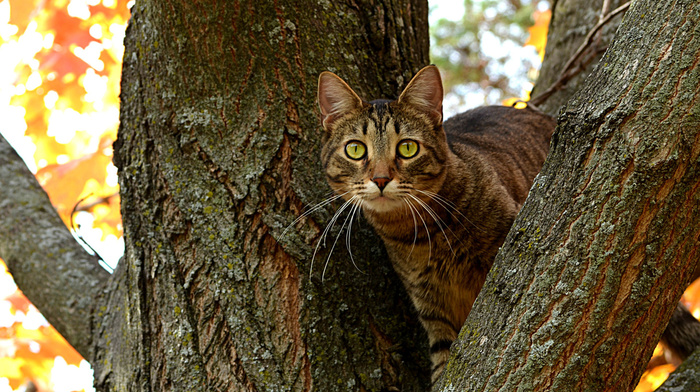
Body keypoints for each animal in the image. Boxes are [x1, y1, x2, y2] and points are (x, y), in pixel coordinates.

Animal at [318, 66, 556, 382]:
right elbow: (443, 364)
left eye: (407, 148)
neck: (423, 233)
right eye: (355, 150)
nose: (380, 179)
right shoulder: (433, 309)